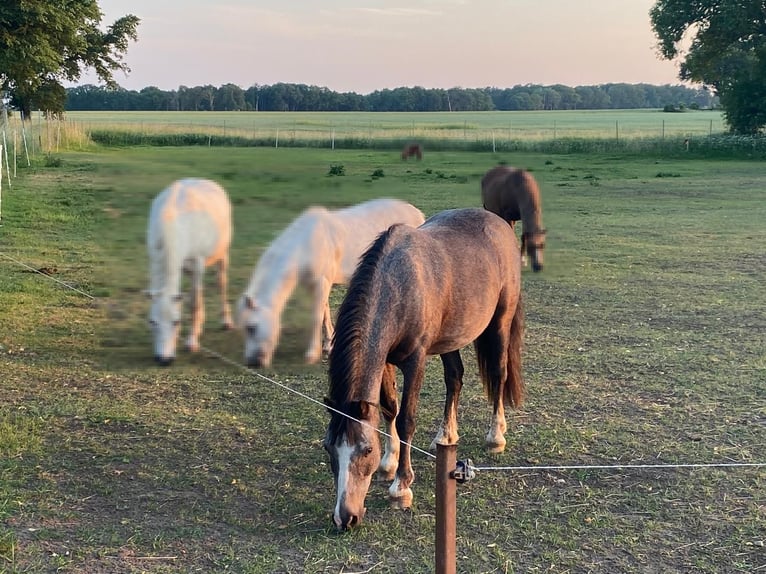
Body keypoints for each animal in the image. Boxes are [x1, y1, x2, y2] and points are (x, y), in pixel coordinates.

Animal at [145, 178, 233, 366]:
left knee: (221, 282)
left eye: (176, 322)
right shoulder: (154, 259)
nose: (164, 359)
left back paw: (226, 321)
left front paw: (192, 342)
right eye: (152, 321)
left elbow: (194, 303)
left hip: (222, 254)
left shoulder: (197, 264)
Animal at [237, 198, 425, 368]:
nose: (253, 362)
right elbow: (325, 312)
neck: (305, 246)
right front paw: (329, 345)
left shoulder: (321, 282)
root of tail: (418, 214)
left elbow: (316, 316)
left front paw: (312, 354)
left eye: (252, 327)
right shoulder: (317, 285)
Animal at [323, 207, 524, 529]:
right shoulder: (384, 359)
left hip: (500, 323)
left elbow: (407, 419)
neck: (399, 285)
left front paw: (401, 486)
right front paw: (389, 464)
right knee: (454, 378)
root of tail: (499, 221)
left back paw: (496, 436)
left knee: (499, 375)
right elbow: (389, 408)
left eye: (366, 450)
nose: (345, 518)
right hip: (450, 337)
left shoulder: (415, 361)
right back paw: (446, 435)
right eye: (329, 448)